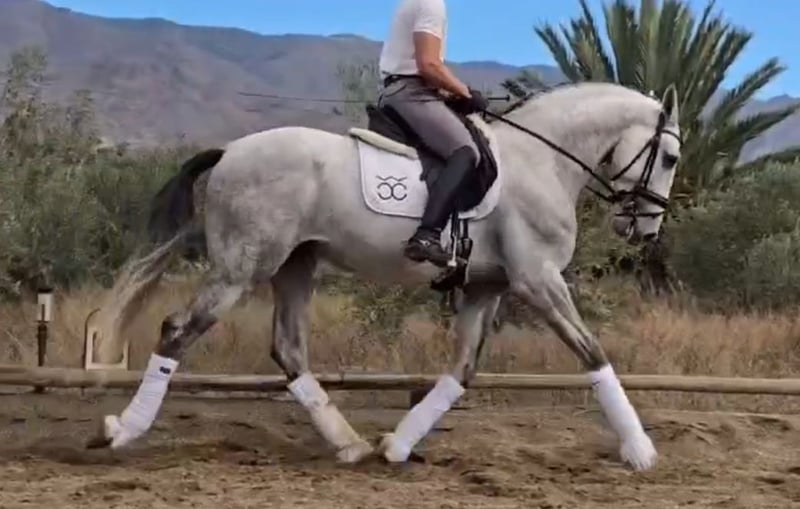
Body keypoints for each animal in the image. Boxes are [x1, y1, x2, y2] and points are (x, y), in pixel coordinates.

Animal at [86, 81, 682, 472]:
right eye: (672, 157)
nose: (644, 230)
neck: (542, 161)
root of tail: (232, 149)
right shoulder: (538, 281)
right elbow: (593, 353)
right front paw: (641, 451)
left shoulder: (487, 286)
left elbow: (462, 372)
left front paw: (398, 445)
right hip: (243, 266)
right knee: (177, 330)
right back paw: (124, 430)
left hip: (295, 265)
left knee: (288, 350)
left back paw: (350, 444)